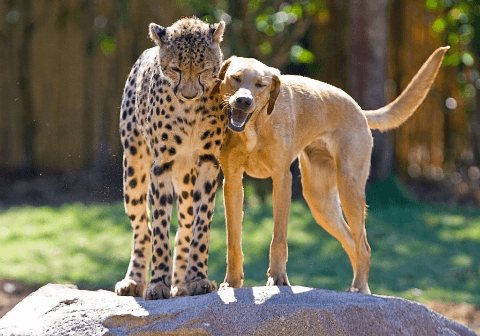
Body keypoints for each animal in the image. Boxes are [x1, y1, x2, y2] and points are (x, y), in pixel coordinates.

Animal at [116, 17, 229, 300]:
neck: (189, 111)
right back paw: (134, 280)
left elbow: (201, 226)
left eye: (204, 70)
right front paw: (157, 283)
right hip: (134, 169)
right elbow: (159, 229)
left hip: (187, 177)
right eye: (175, 69)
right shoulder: (162, 165)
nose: (189, 94)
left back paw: (181, 283)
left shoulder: (209, 162)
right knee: (142, 228)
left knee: (185, 227)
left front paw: (197, 278)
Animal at [218, 46, 450, 292]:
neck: (254, 127)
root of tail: (359, 110)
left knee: (363, 246)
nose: (243, 101)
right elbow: (233, 241)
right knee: (352, 242)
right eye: (235, 78)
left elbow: (278, 238)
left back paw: (359, 288)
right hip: (321, 202)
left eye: (261, 85)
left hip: (349, 189)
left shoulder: (281, 179)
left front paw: (278, 278)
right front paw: (232, 282)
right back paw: (359, 289)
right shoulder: (232, 182)